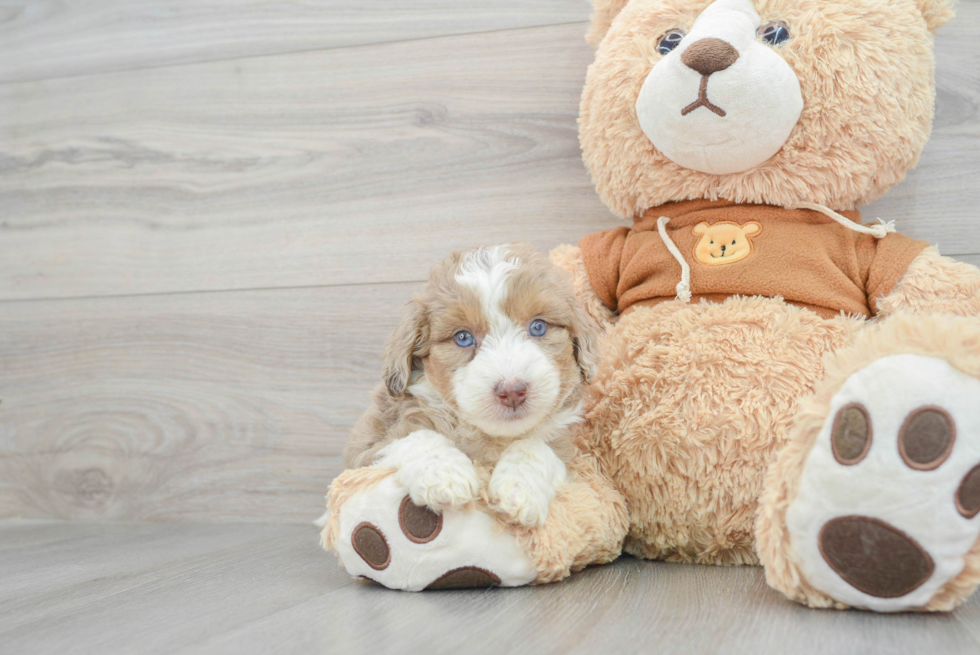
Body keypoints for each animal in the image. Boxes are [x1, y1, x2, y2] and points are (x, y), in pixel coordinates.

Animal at [344, 242, 604, 528]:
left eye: (538, 327)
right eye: (463, 338)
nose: (512, 391)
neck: (491, 437)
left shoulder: (569, 455)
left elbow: (537, 446)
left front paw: (519, 487)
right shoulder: (365, 452)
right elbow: (415, 436)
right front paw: (445, 475)